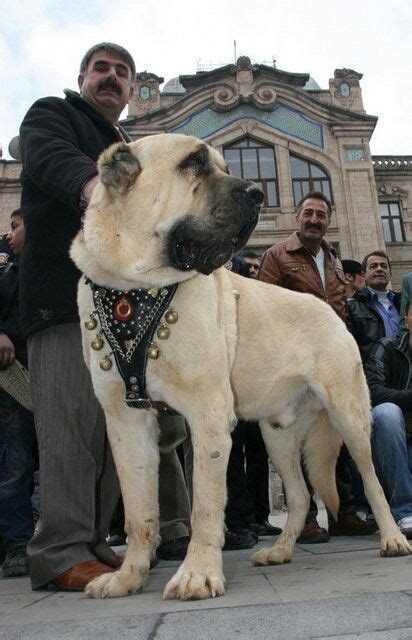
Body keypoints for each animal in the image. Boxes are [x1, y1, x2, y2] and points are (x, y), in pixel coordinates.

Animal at [70, 131, 408, 600]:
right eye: (193, 163)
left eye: (224, 166)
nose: (256, 193)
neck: (135, 287)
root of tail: (328, 307)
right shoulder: (126, 423)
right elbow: (140, 513)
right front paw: (129, 576)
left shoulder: (209, 416)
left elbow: (206, 506)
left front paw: (196, 574)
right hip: (276, 433)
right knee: (300, 496)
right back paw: (281, 550)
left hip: (349, 418)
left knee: (372, 482)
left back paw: (392, 537)